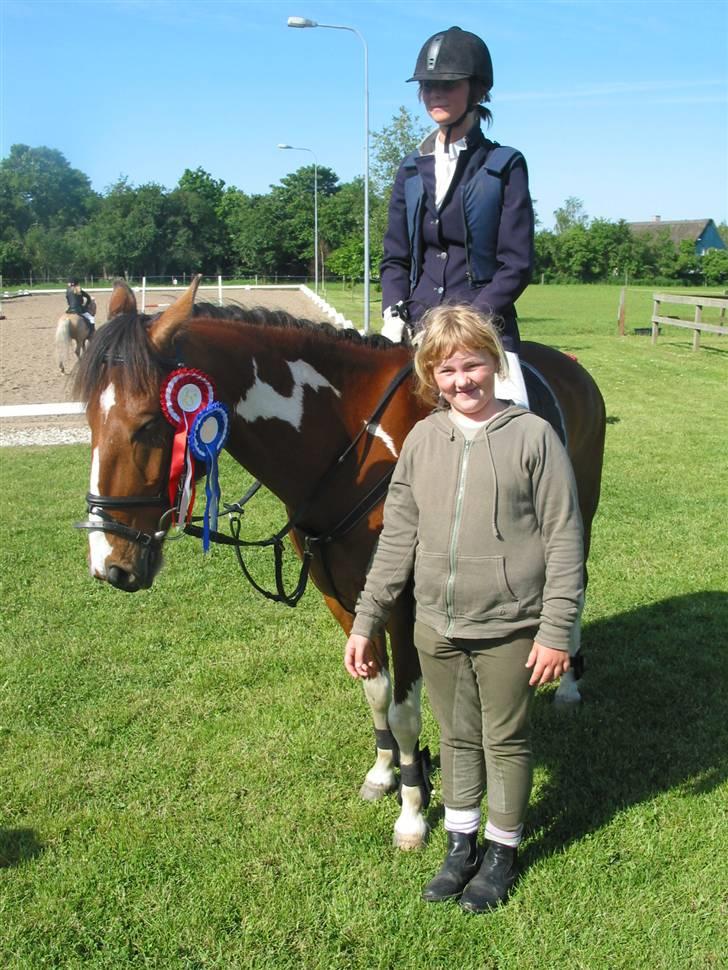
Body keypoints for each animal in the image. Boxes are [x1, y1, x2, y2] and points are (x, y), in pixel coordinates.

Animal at [74, 278, 608, 848]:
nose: (110, 565)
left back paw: (569, 683)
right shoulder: (343, 597)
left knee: (572, 590)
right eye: (88, 419)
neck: (359, 449)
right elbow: (375, 692)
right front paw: (385, 773)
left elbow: (404, 710)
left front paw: (413, 813)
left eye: (149, 424)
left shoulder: (406, 604)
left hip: (576, 518)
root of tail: (572, 368)